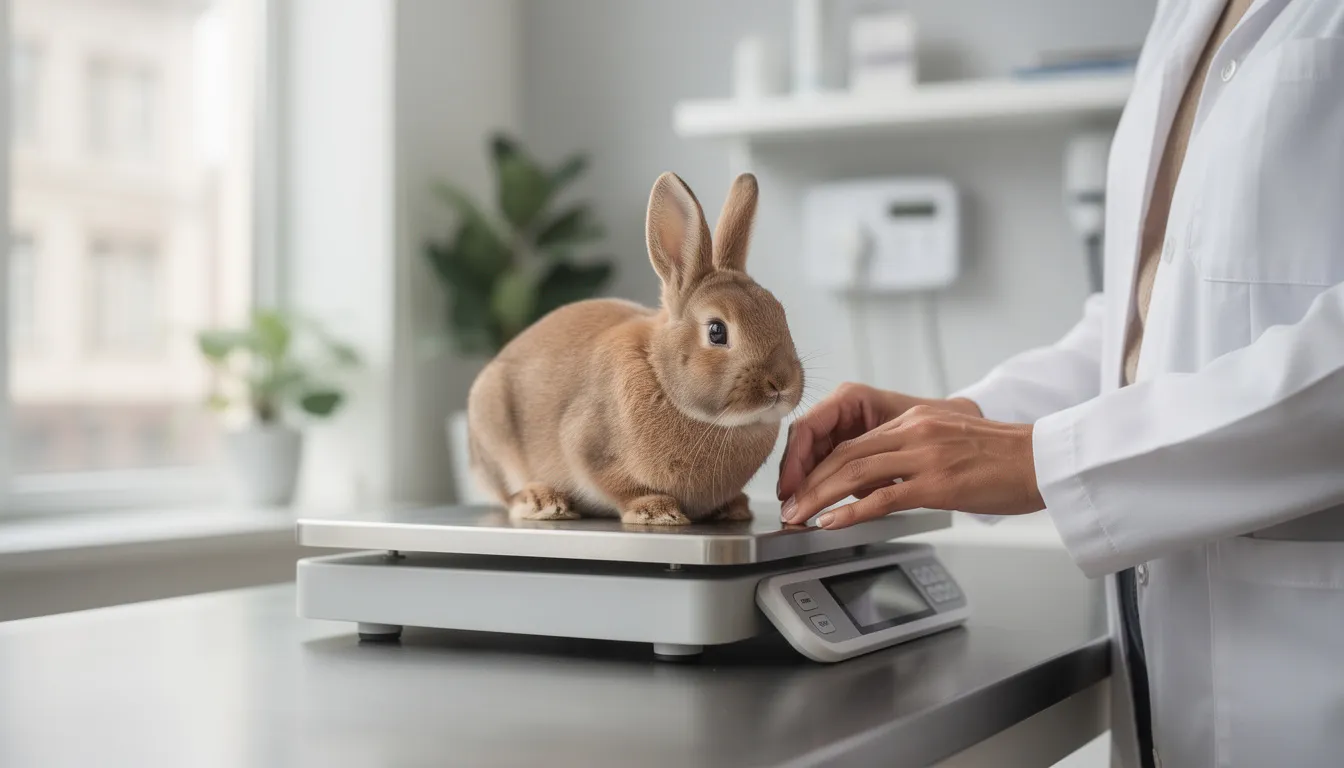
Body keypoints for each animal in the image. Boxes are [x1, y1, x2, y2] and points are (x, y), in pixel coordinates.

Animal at [466, 171, 804, 525]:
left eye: (780, 314)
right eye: (716, 331)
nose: (781, 383)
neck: (660, 376)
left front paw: (734, 507)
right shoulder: (588, 447)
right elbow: (619, 486)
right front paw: (656, 511)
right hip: (493, 433)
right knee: (507, 493)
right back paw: (542, 501)